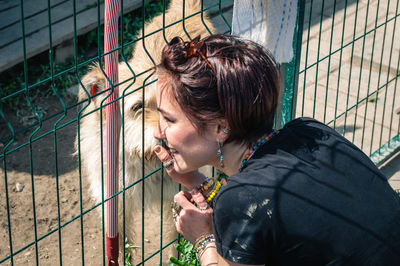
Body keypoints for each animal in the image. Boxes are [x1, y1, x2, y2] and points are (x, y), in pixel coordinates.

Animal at [74, 0, 212, 264]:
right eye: (137, 107)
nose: (166, 138)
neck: (144, 161)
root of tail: (184, 10)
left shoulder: (180, 197)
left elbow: (176, 243)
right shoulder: (116, 207)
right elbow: (119, 247)